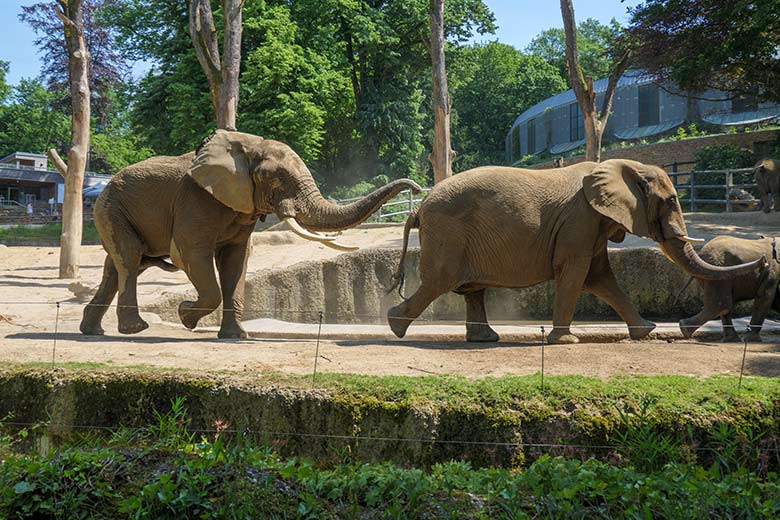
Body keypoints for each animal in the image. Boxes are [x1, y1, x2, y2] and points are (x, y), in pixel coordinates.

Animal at [80, 130, 420, 340]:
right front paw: (185, 316)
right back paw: (134, 329)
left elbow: (236, 260)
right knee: (129, 259)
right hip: (110, 208)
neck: (247, 146)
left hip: (114, 211)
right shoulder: (195, 199)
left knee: (120, 266)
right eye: (275, 178)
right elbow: (189, 253)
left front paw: (235, 337)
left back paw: (92, 331)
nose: (416, 187)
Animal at [386, 160, 764, 344]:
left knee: (470, 289)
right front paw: (567, 341)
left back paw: (485, 339)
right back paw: (396, 326)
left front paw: (645, 331)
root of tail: (419, 207)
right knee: (440, 282)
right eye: (671, 200)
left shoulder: (592, 224)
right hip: (448, 234)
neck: (622, 167)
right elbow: (575, 271)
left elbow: (601, 276)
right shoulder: (580, 219)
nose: (763, 256)